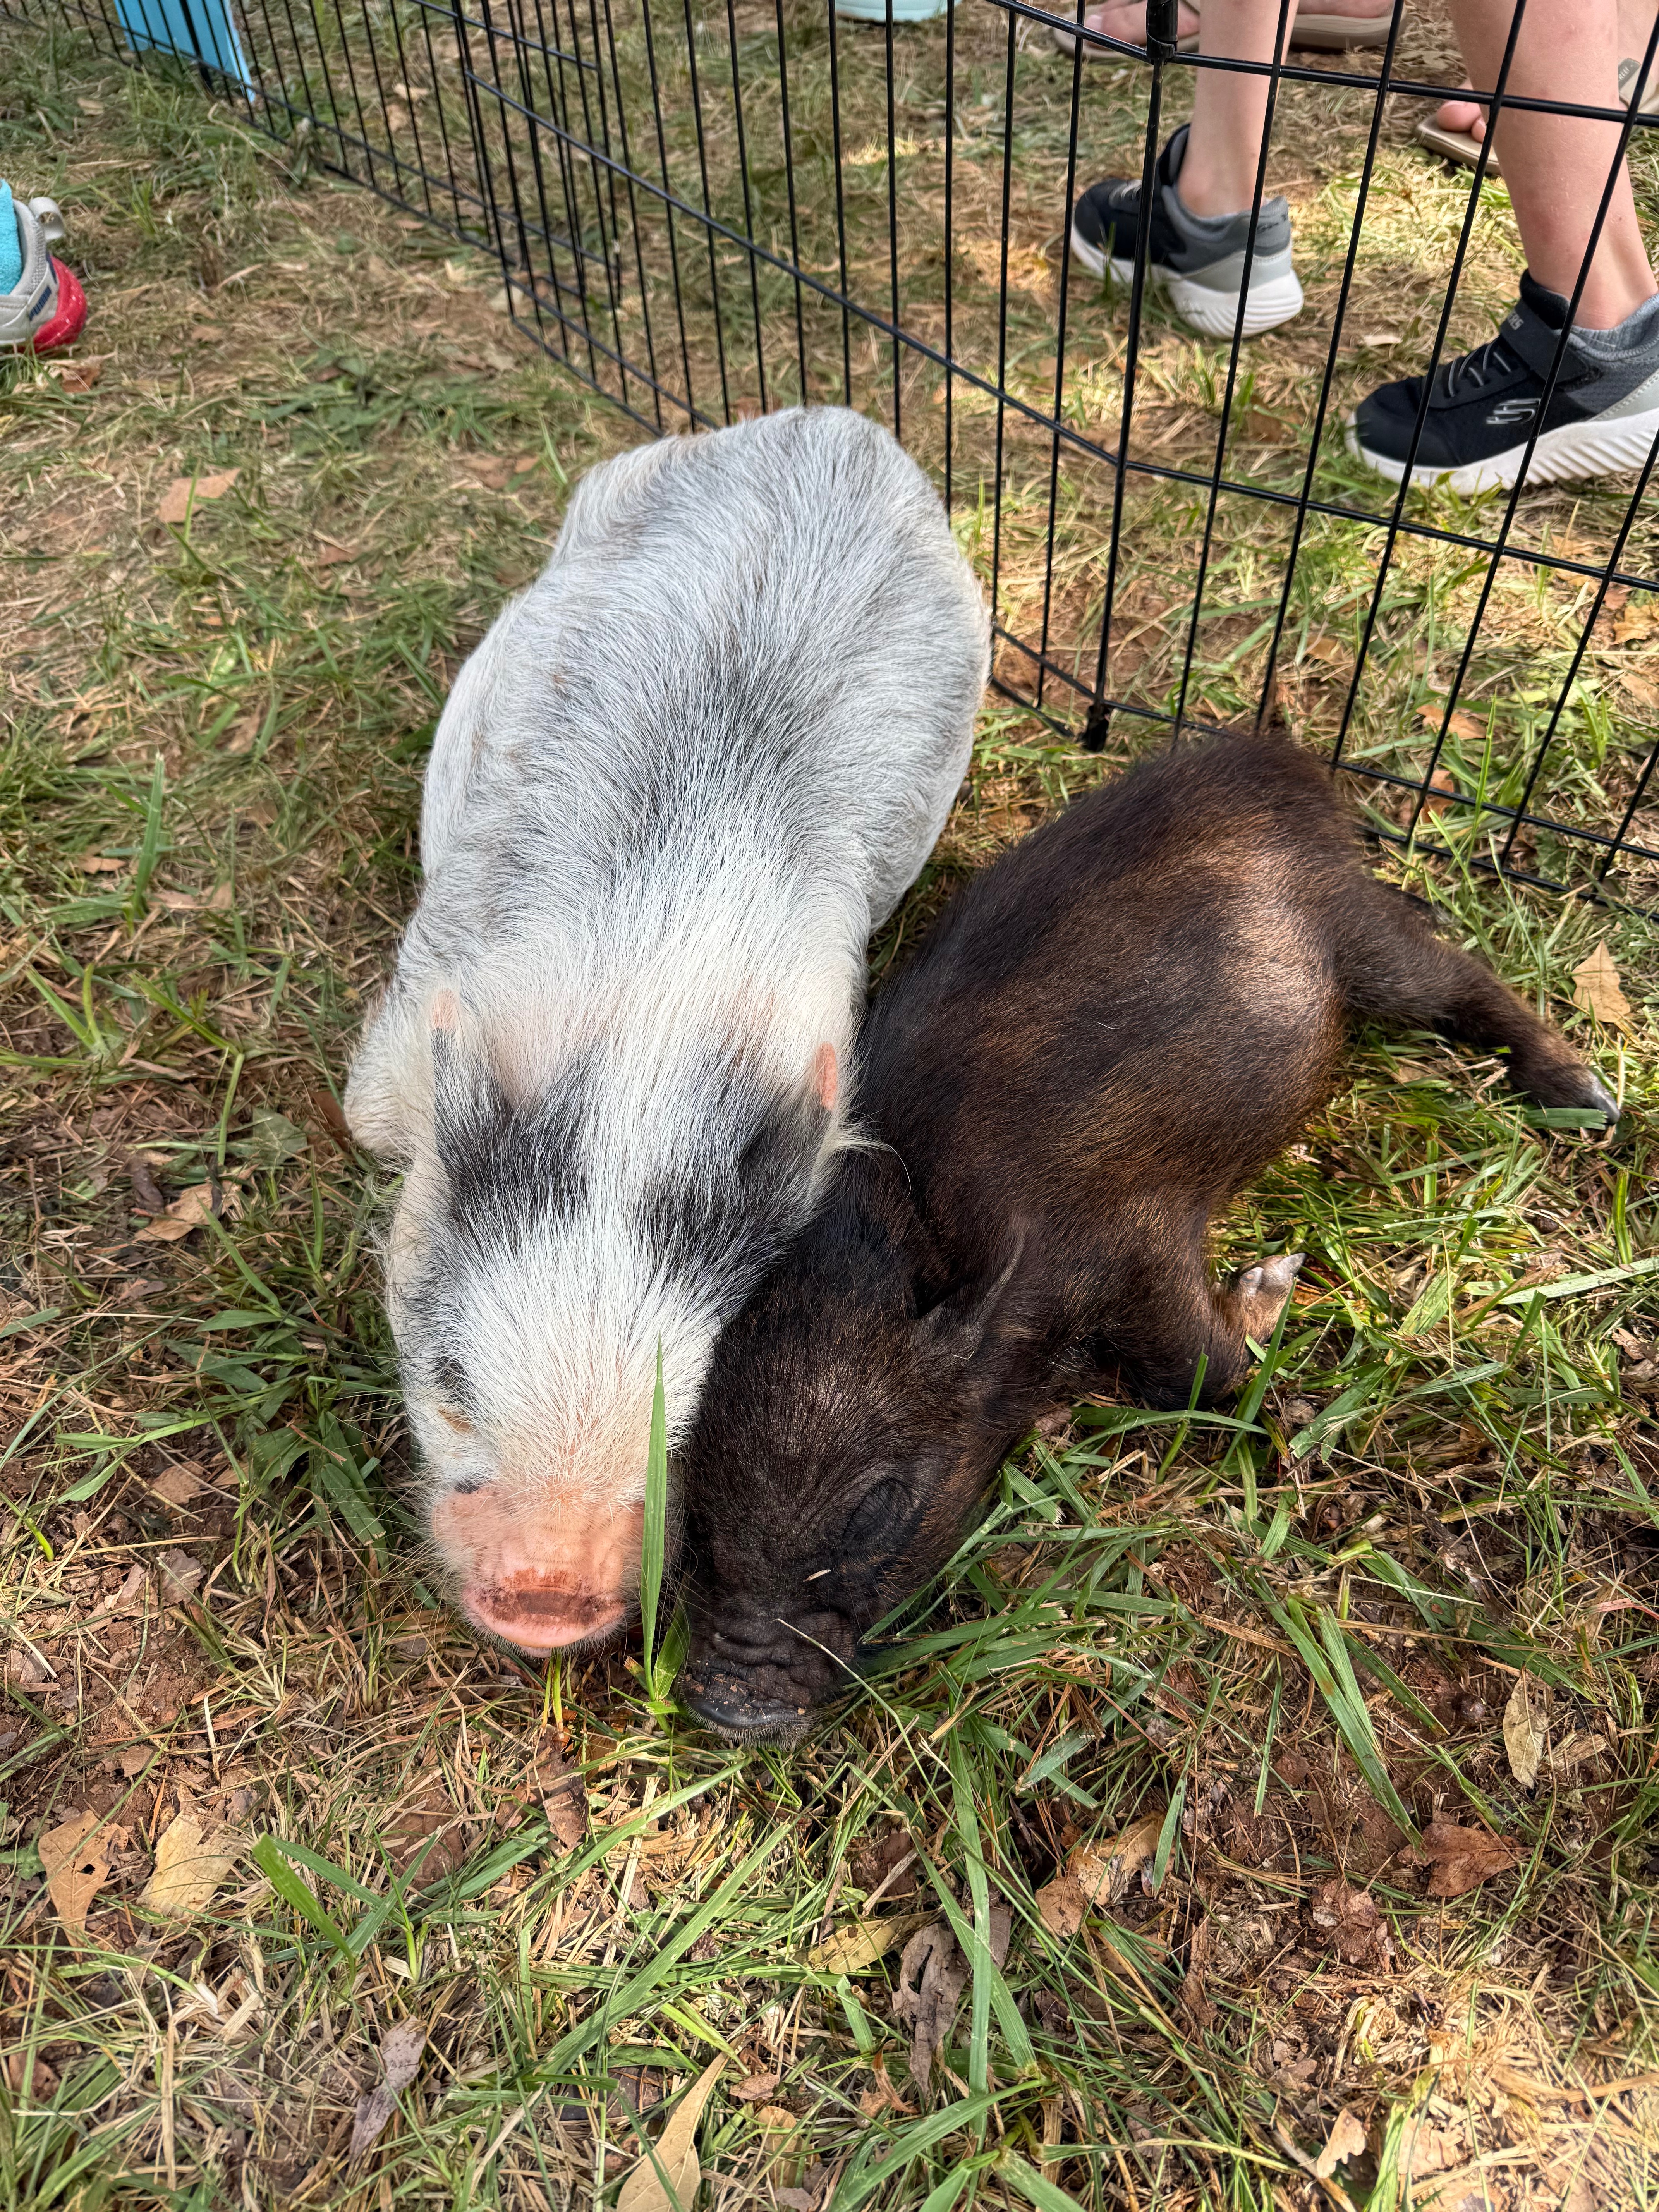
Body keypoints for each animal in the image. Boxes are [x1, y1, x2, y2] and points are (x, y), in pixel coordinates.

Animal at [677, 728, 1618, 1737]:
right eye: (699, 1521)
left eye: (875, 1512)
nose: (727, 1706)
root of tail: (1265, 758)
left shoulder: (1135, 1233)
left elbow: (1198, 1368)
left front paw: (1277, 1311)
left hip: (1359, 934)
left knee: (1464, 982)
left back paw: (1591, 1097)